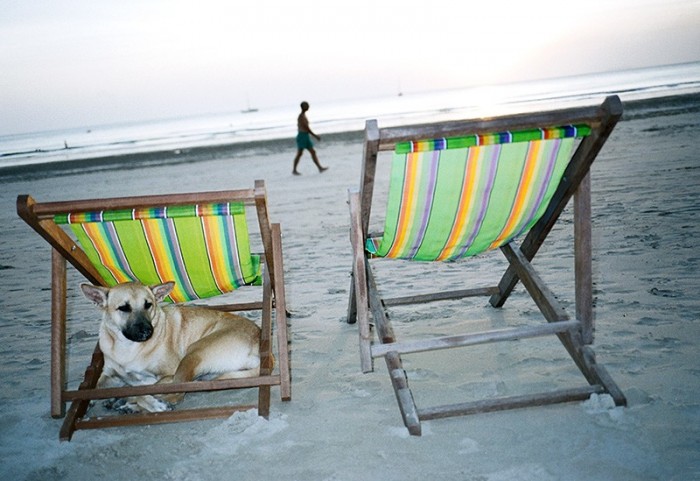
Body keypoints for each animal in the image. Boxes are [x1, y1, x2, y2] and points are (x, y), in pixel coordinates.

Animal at [81, 282, 262, 412]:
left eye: (148, 305)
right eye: (124, 308)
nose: (147, 331)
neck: (127, 347)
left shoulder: (167, 375)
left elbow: (146, 390)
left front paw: (149, 403)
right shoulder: (109, 375)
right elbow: (94, 387)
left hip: (192, 354)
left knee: (176, 393)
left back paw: (130, 403)